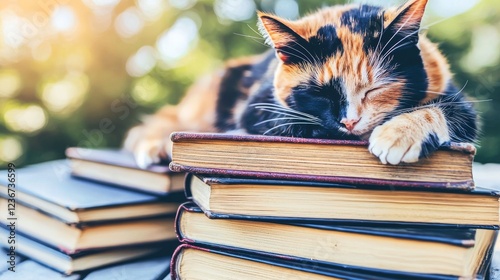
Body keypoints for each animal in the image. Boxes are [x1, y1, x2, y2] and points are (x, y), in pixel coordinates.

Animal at [124, 0, 476, 168]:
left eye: (374, 89)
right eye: (321, 92)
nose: (350, 121)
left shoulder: (457, 99)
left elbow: (441, 109)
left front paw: (397, 135)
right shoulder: (257, 109)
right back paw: (155, 147)